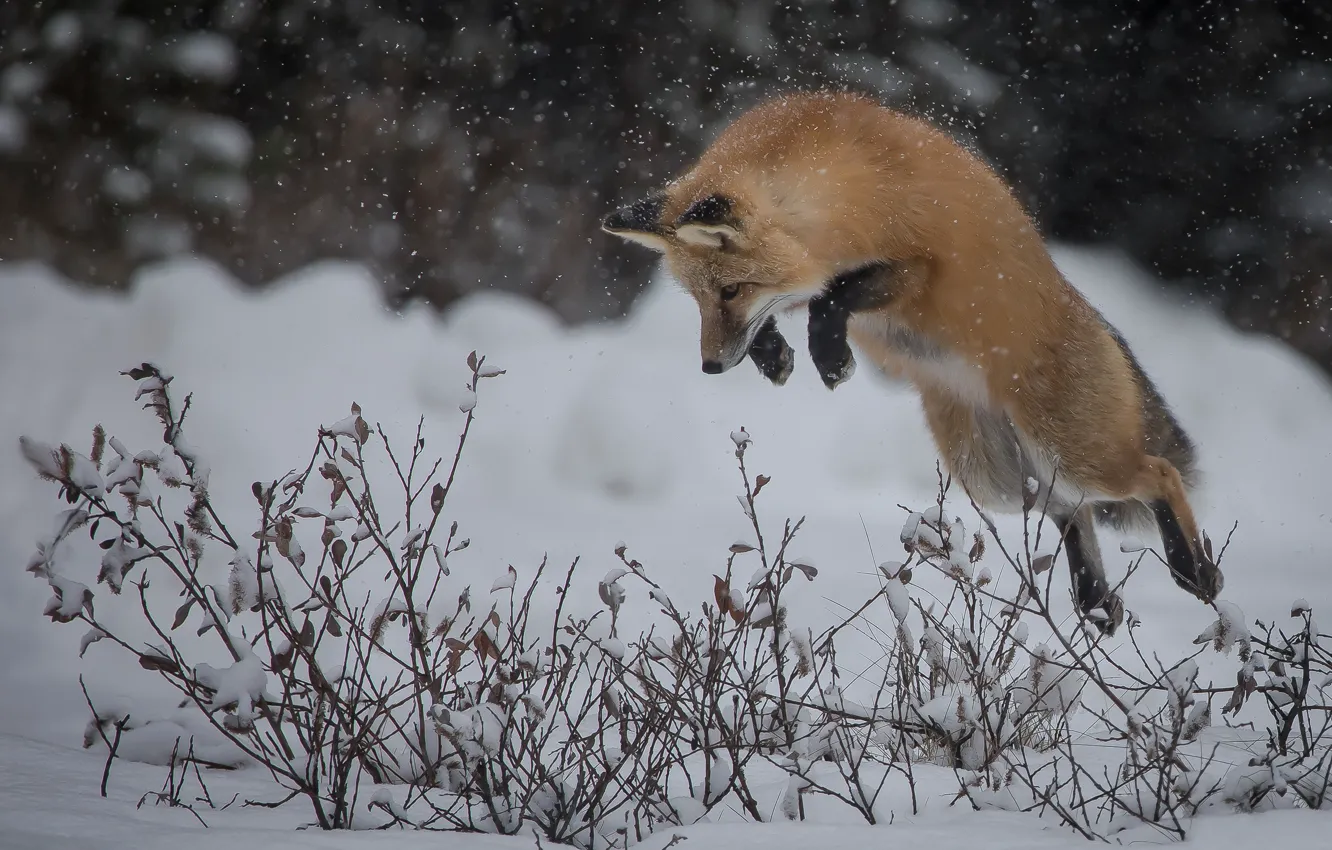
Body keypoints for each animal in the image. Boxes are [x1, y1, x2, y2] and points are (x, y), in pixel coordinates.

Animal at [600, 90, 1224, 634]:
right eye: (698, 299)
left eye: (730, 291)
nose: (710, 367)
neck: (842, 182)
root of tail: (1095, 317)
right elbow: (798, 304)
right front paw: (774, 354)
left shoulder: (920, 267)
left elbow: (834, 297)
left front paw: (830, 357)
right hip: (998, 479)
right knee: (1073, 510)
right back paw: (1098, 601)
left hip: (1070, 452)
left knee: (1158, 474)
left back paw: (1194, 571)